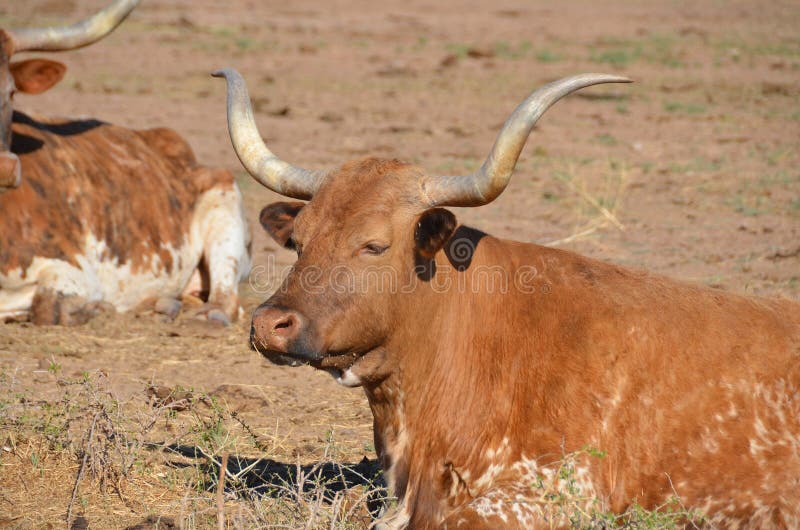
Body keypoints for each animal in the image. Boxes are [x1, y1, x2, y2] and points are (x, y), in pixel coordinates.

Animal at [0, 1, 250, 326]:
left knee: (226, 300)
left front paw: (97, 308)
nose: (5, 168)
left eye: (11, 92)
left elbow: (48, 308)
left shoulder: (73, 270)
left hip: (224, 209)